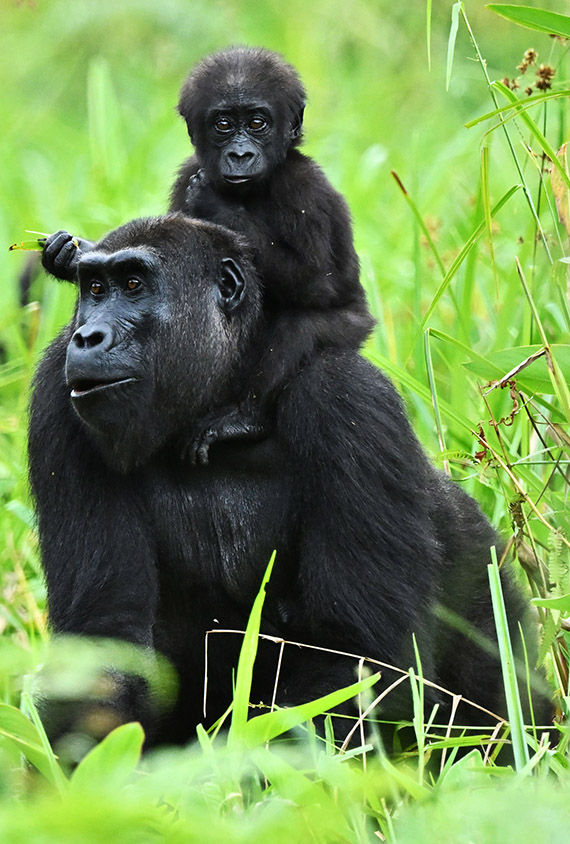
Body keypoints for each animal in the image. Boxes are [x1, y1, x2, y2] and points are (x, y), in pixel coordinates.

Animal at [28, 213, 544, 752]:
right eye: (94, 288)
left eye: (133, 285)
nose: (87, 336)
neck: (219, 400)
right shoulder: (56, 395)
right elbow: (107, 640)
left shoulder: (347, 397)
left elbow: (360, 658)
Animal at [37, 47, 370, 462]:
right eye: (223, 124)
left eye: (258, 123)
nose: (240, 154)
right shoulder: (187, 172)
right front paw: (67, 256)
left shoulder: (301, 187)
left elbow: (316, 281)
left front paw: (215, 203)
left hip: (353, 326)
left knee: (301, 328)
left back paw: (244, 418)